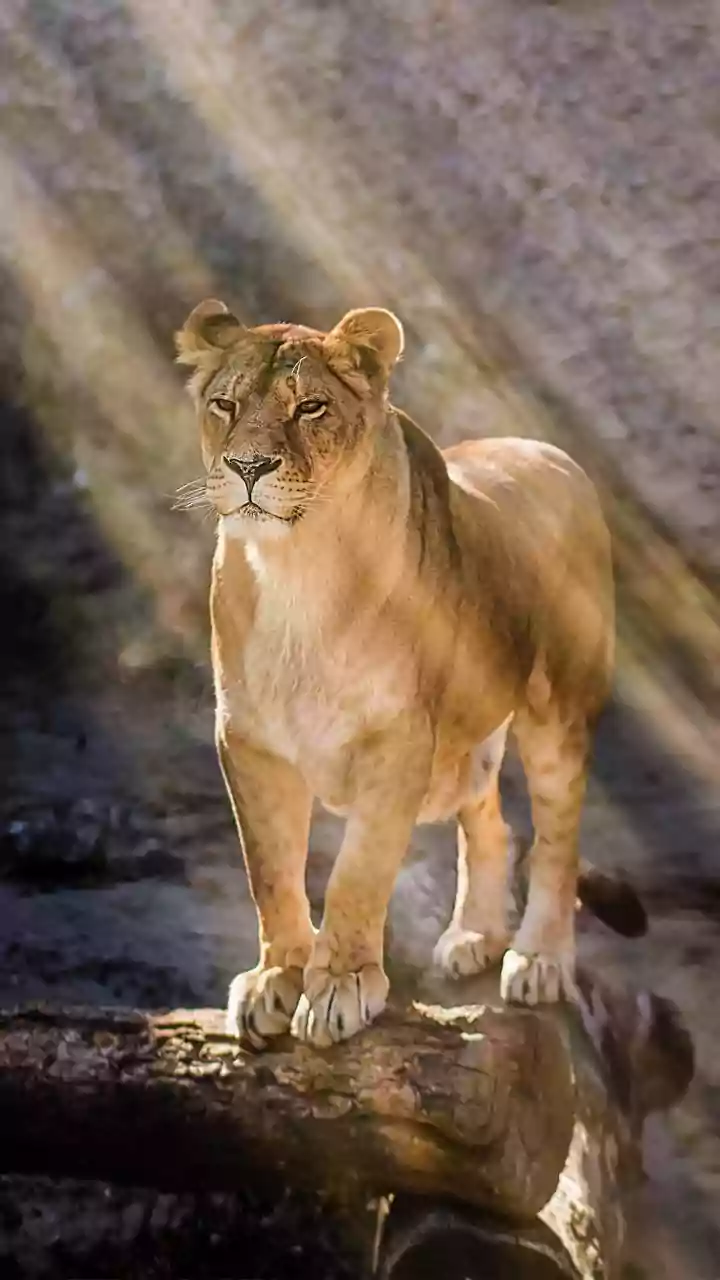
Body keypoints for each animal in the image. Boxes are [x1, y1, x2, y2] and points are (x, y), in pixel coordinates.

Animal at [175, 299, 618, 1050]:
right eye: (224, 405)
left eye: (311, 407)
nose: (247, 466)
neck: (297, 566)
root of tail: (550, 452)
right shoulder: (250, 741)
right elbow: (270, 869)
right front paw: (275, 978)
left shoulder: (398, 742)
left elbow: (358, 872)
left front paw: (340, 987)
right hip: (461, 756)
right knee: (493, 824)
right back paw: (475, 936)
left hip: (555, 711)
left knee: (558, 841)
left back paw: (538, 961)